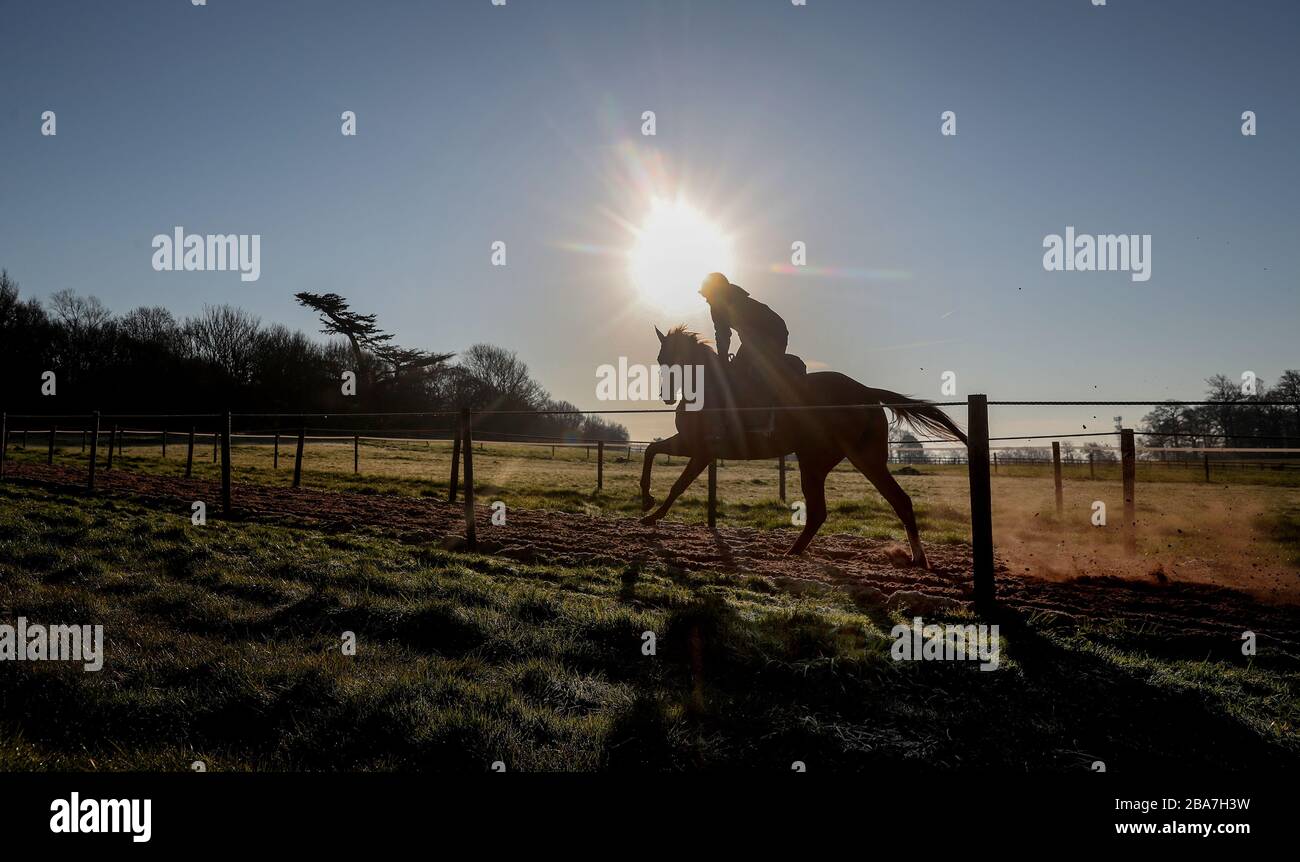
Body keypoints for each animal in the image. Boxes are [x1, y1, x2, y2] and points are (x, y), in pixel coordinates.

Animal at [639, 325, 967, 566]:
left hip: (830, 459)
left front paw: (651, 512)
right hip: (846, 459)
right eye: (660, 360)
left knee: (850, 506)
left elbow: (676, 482)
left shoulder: (702, 449)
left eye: (670, 359)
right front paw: (647, 502)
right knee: (886, 502)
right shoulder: (693, 446)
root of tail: (866, 391)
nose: (666, 396)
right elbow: (652, 452)